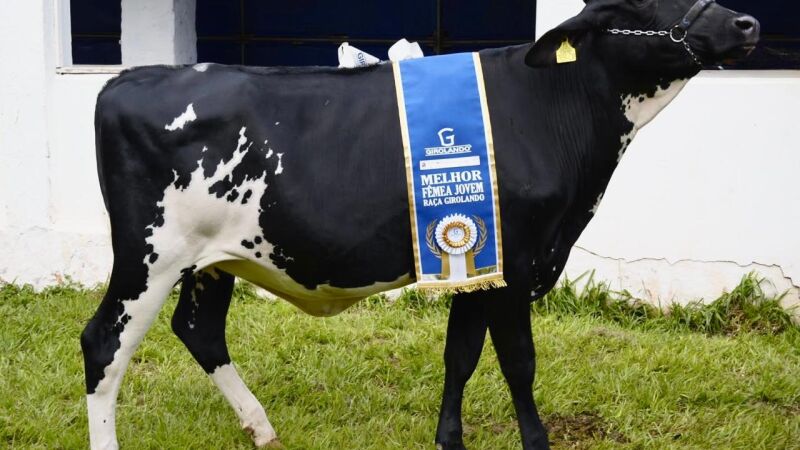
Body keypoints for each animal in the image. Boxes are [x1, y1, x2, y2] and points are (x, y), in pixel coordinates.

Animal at [80, 0, 759, 448]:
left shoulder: (481, 262)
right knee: (104, 343)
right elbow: (518, 361)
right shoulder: (517, 262)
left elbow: (460, 356)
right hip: (149, 256)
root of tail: (131, 77)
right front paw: (534, 440)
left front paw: (447, 439)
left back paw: (262, 427)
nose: (747, 23)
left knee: (198, 330)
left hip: (213, 260)